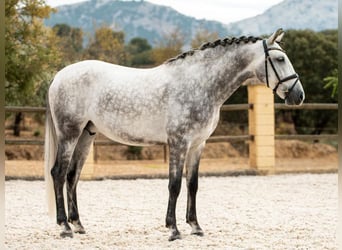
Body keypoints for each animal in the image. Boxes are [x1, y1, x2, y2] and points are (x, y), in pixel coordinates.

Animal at [44, 28, 304, 240]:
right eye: (280, 59)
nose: (299, 95)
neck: (200, 84)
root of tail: (59, 76)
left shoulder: (198, 144)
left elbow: (192, 184)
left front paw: (195, 226)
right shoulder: (179, 142)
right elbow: (175, 185)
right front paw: (173, 229)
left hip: (86, 135)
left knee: (72, 176)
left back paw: (78, 225)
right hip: (69, 133)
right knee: (58, 173)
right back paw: (64, 227)